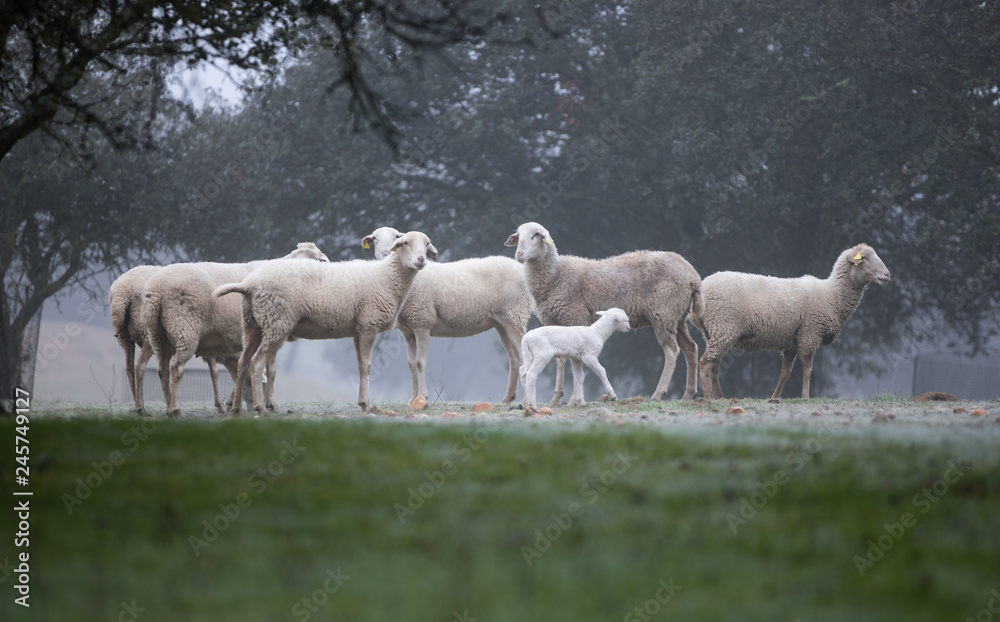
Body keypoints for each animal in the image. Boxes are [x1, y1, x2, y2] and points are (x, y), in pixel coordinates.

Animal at [139, 243, 328, 414]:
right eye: (319, 260)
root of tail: (155, 290)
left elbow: (247, 368)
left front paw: (237, 402)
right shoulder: (272, 329)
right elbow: (269, 370)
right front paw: (270, 405)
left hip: (157, 334)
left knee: (160, 369)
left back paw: (165, 408)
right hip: (184, 327)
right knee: (175, 368)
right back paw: (176, 409)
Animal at [215, 229, 438, 414]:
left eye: (427, 244)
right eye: (405, 243)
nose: (421, 260)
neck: (387, 276)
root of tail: (249, 284)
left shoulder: (358, 329)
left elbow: (360, 366)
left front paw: (361, 402)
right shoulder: (369, 325)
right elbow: (367, 366)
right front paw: (367, 404)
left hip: (254, 324)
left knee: (243, 362)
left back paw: (236, 408)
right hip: (277, 321)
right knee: (257, 362)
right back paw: (260, 408)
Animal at [360, 227, 532, 408]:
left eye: (397, 238)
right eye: (375, 239)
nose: (386, 253)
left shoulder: (422, 322)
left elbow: (420, 362)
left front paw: (423, 397)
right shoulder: (408, 331)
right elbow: (411, 364)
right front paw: (413, 399)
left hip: (515, 314)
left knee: (523, 357)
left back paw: (525, 401)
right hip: (502, 322)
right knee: (514, 358)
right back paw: (508, 398)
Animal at [504, 224, 700, 404]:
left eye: (536, 235)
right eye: (518, 236)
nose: (519, 255)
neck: (555, 275)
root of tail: (692, 274)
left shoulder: (574, 315)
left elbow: (575, 364)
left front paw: (574, 398)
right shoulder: (554, 322)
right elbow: (561, 360)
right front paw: (556, 398)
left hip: (664, 312)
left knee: (671, 351)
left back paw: (659, 393)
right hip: (678, 316)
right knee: (691, 348)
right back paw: (688, 394)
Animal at [692, 241, 896, 402]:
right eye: (865, 258)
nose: (887, 275)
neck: (831, 295)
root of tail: (701, 289)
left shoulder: (792, 342)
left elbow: (785, 373)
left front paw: (774, 398)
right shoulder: (810, 333)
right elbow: (808, 369)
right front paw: (805, 397)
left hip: (715, 332)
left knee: (714, 366)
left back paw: (722, 397)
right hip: (723, 327)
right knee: (705, 363)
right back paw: (709, 398)